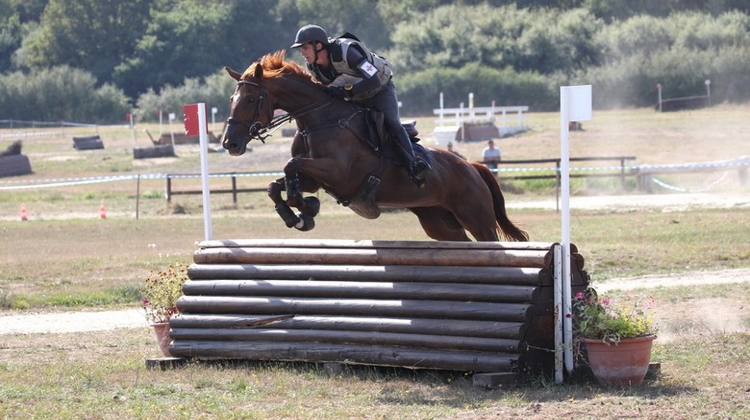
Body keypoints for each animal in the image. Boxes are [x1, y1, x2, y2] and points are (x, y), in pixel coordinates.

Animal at [223, 51, 528, 243]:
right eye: (231, 99)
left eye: (250, 99)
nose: (230, 143)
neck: (318, 119)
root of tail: (472, 166)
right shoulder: (316, 177)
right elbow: (277, 184)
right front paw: (297, 215)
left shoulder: (340, 174)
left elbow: (291, 165)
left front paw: (304, 206)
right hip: (439, 222)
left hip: (476, 216)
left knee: (489, 241)